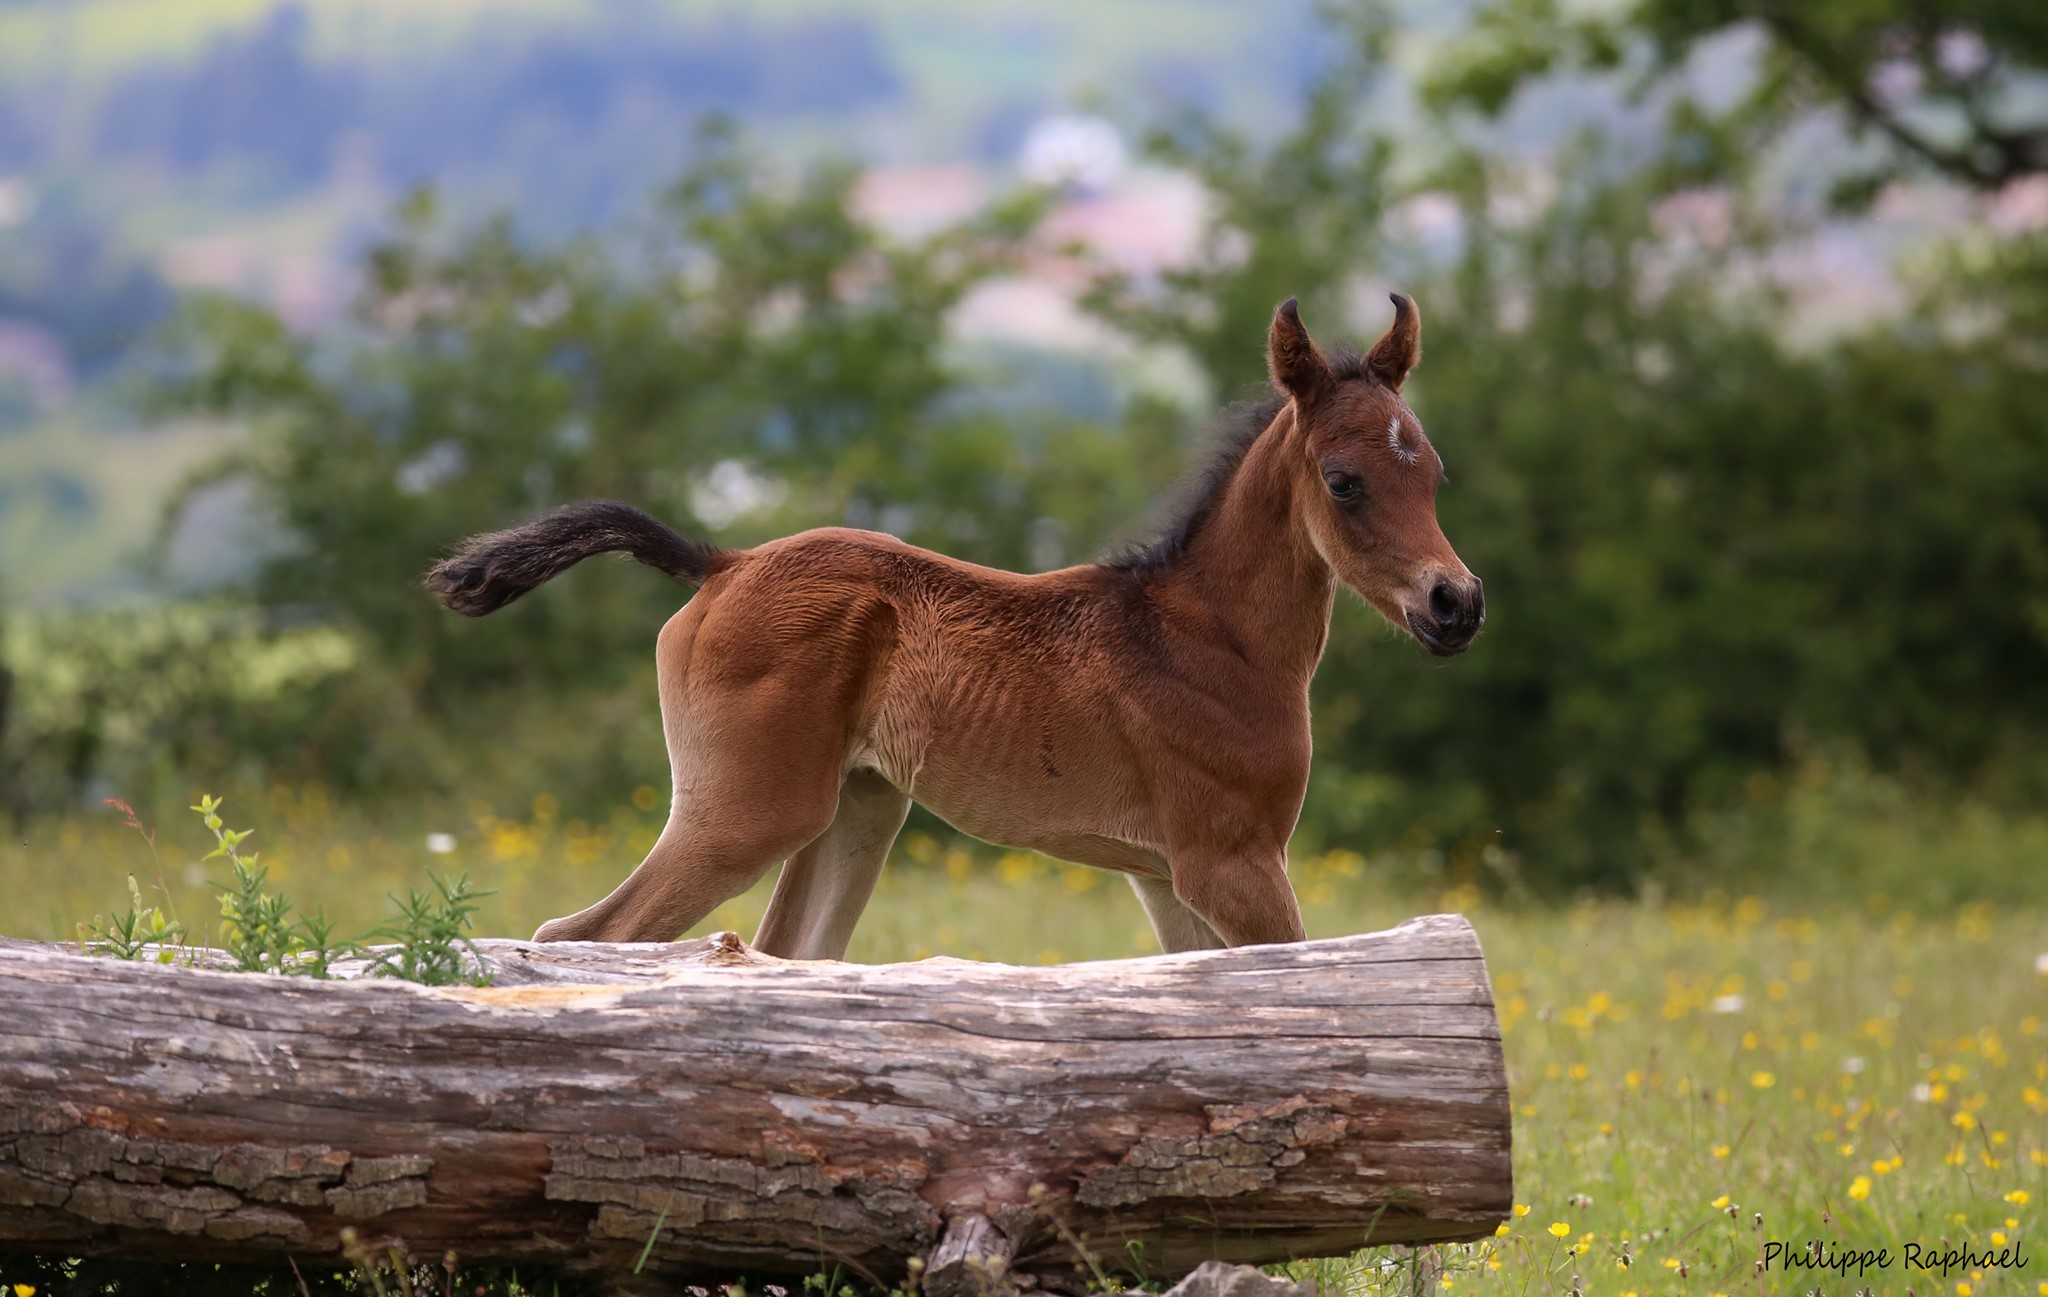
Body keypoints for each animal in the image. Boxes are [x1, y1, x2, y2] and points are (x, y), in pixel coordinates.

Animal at [428, 299, 1490, 954]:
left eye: (1435, 470)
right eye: (1345, 481)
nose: (1457, 603)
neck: (1210, 638)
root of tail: (721, 562)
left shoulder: (1165, 876)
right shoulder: (1231, 861)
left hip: (857, 807)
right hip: (743, 810)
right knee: (590, 936)